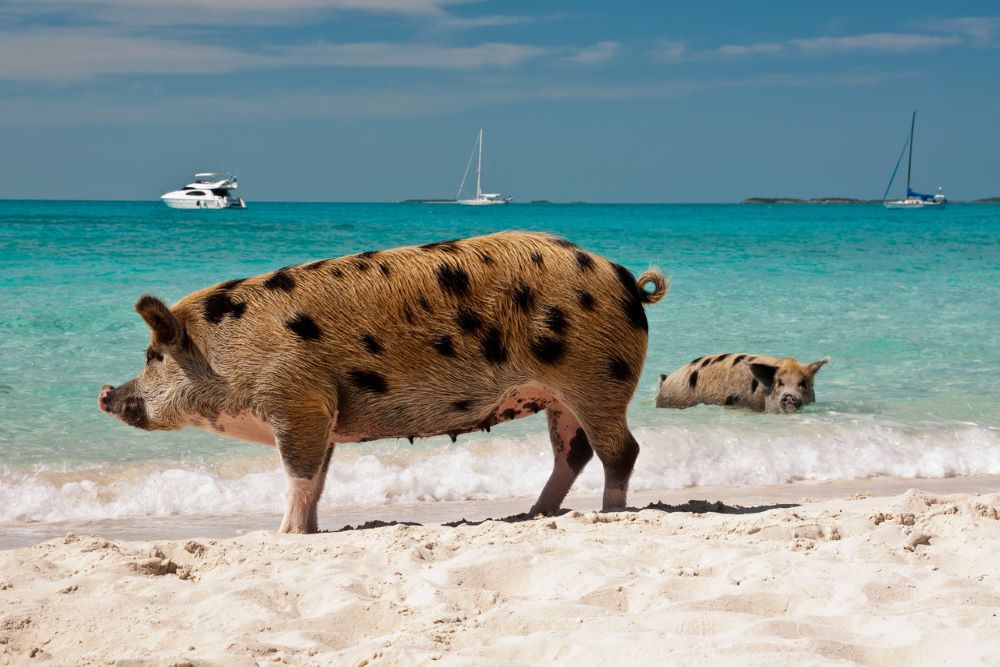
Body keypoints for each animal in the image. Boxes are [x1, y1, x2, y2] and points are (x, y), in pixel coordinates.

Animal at [99, 232, 668, 533]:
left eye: (152, 356)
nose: (106, 393)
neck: (227, 352)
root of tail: (624, 278)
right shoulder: (324, 412)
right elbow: (318, 479)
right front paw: (307, 531)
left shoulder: (297, 400)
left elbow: (297, 474)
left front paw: (281, 533)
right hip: (560, 394)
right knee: (574, 451)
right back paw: (533, 512)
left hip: (596, 379)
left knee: (623, 449)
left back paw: (611, 511)